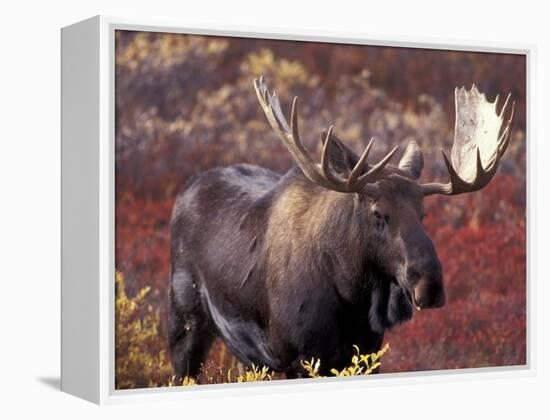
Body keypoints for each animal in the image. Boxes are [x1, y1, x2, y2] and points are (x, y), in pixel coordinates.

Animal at [168, 76, 516, 380]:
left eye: (423, 213)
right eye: (378, 214)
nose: (429, 285)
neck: (352, 298)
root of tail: (185, 190)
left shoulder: (367, 354)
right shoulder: (298, 357)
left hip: (248, 356)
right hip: (185, 323)